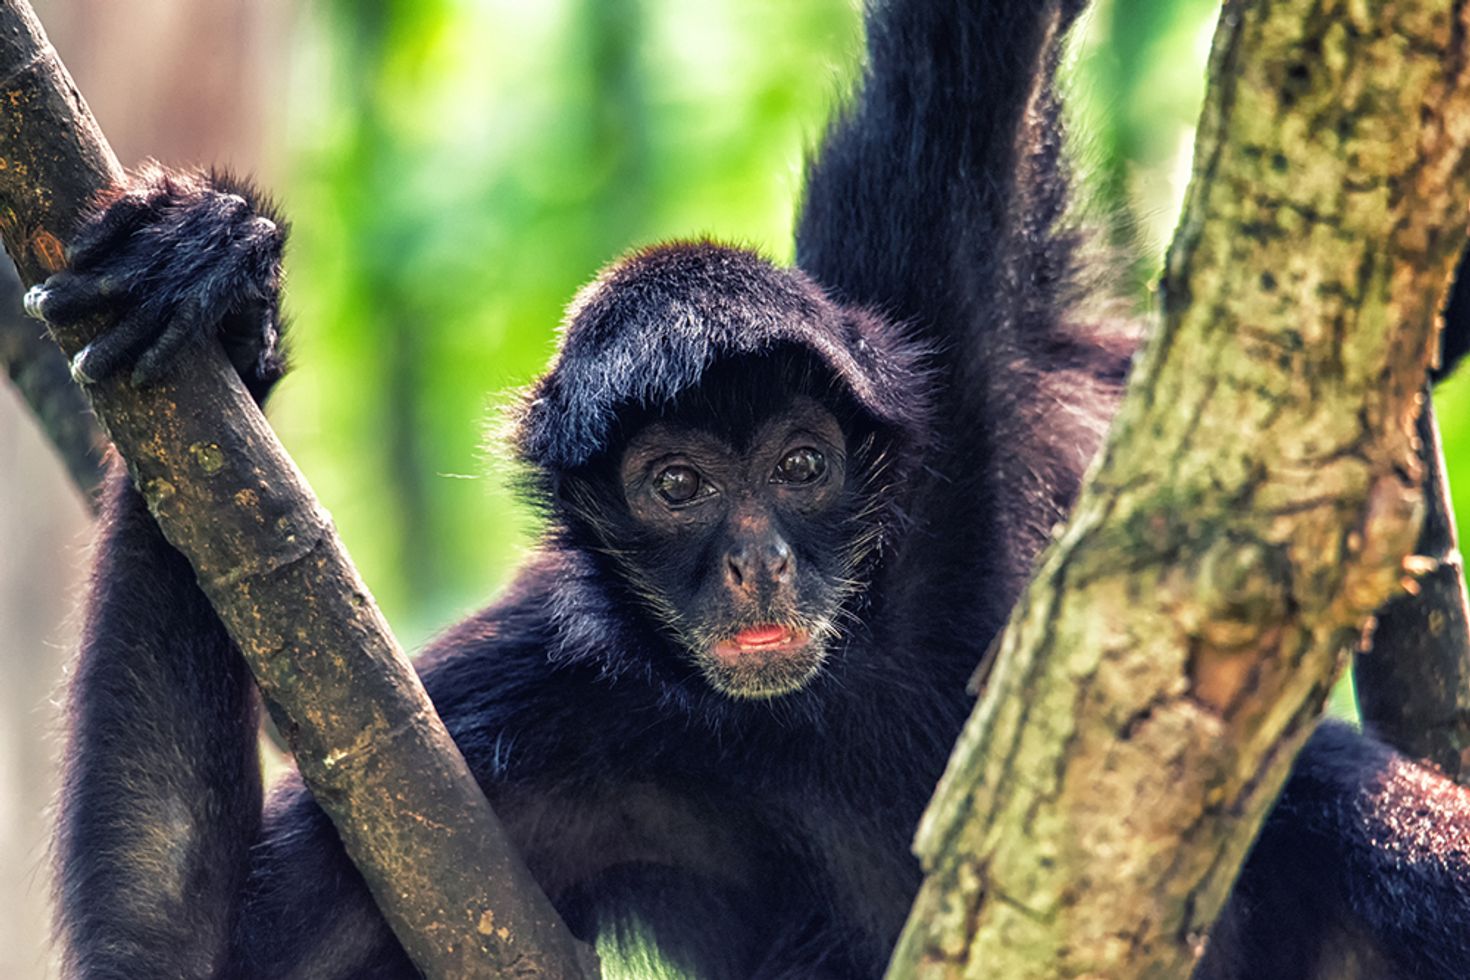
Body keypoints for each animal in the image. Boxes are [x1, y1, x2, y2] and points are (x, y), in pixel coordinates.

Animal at [30, 0, 1470, 977]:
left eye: (800, 466)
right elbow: (181, 954)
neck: (841, 693)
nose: (757, 560)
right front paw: (219, 294)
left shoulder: (939, 319)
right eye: (674, 484)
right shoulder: (544, 704)